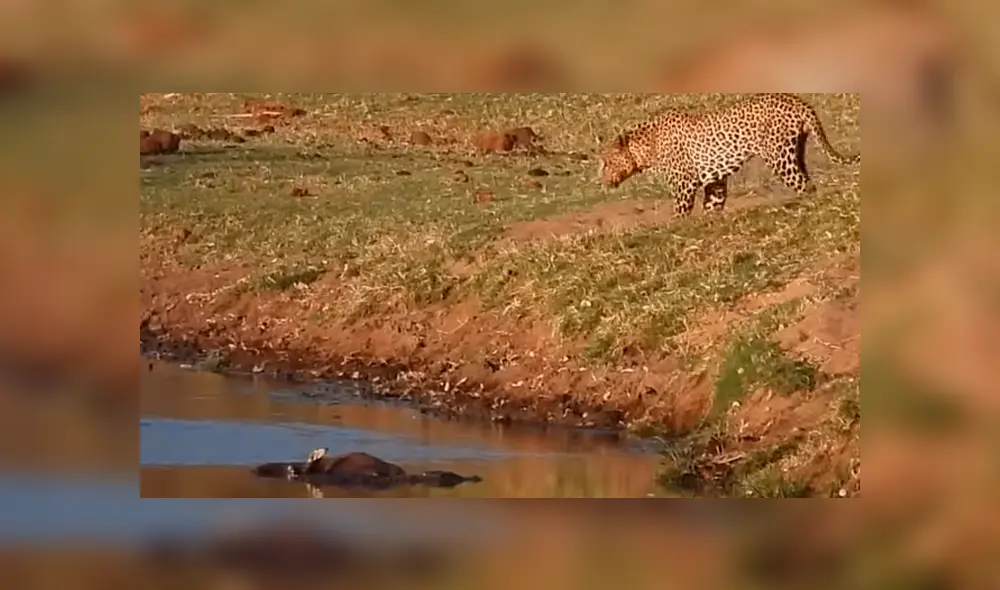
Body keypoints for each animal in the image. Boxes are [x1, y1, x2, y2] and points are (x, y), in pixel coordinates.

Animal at [597, 93, 860, 217]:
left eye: (607, 163)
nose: (602, 180)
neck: (646, 146)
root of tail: (797, 100)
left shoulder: (683, 184)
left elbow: (680, 212)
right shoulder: (714, 181)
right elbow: (713, 204)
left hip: (779, 157)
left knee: (803, 184)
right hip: (796, 151)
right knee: (807, 180)